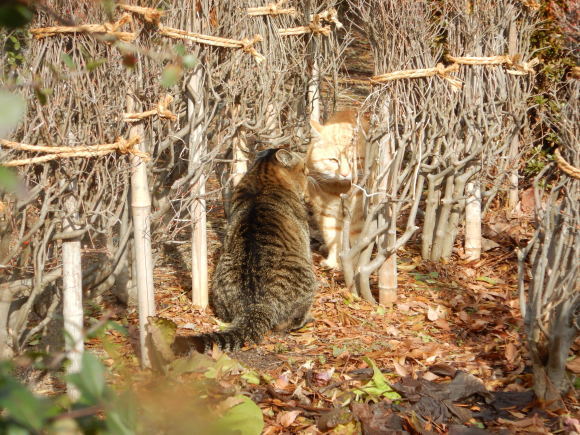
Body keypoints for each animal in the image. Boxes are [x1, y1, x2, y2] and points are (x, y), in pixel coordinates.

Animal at [173, 149, 318, 354]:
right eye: (304, 167)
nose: (309, 171)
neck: (262, 177)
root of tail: (255, 306)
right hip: (308, 279)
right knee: (288, 323)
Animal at [308, 110, 368, 270]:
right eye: (334, 160)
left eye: (354, 160)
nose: (345, 174)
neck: (338, 189)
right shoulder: (326, 214)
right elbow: (333, 238)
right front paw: (334, 262)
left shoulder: (357, 217)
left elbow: (356, 241)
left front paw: (352, 265)